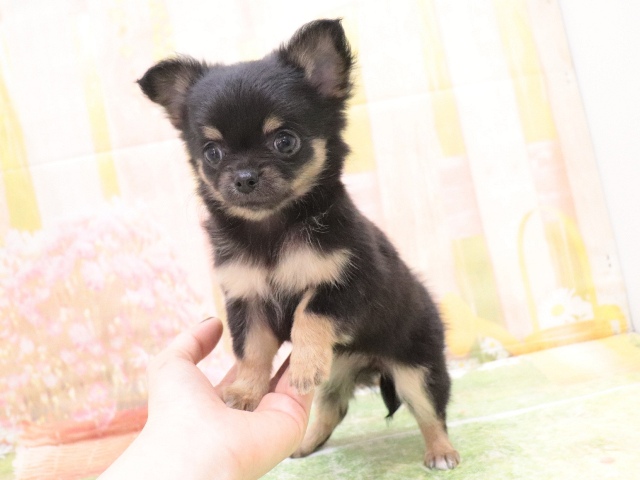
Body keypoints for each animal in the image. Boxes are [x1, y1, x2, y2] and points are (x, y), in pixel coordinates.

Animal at [138, 19, 460, 470]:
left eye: (285, 141)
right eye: (212, 152)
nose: (244, 177)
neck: (272, 228)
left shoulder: (347, 283)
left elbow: (308, 314)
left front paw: (303, 365)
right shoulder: (247, 299)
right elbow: (252, 351)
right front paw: (245, 392)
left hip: (417, 365)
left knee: (430, 409)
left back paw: (441, 452)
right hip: (338, 373)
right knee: (332, 407)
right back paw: (305, 444)